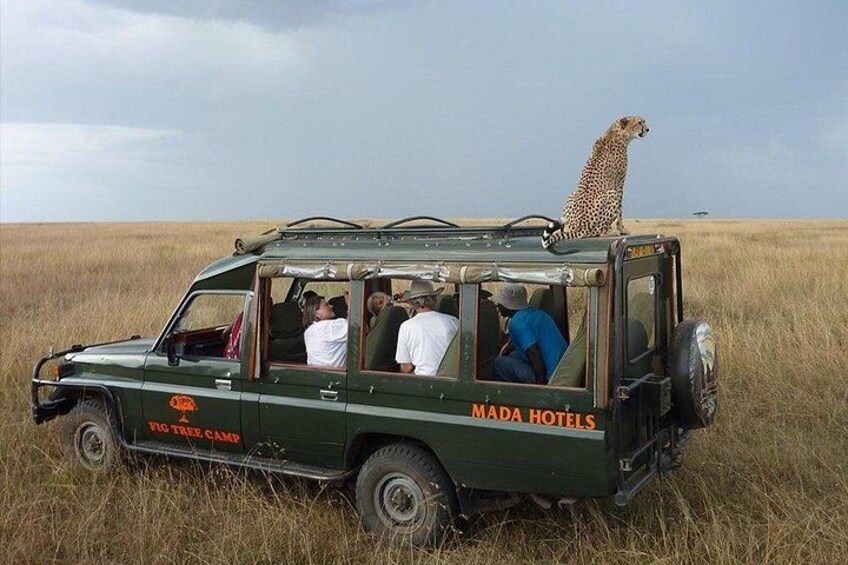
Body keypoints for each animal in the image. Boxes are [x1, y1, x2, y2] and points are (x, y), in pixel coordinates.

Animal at [541, 116, 649, 248]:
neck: (616, 132)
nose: (648, 129)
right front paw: (622, 229)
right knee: (599, 231)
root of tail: (580, 227)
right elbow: (620, 212)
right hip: (612, 194)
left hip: (572, 194)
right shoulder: (619, 184)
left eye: (643, 122)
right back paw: (610, 232)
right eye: (639, 122)